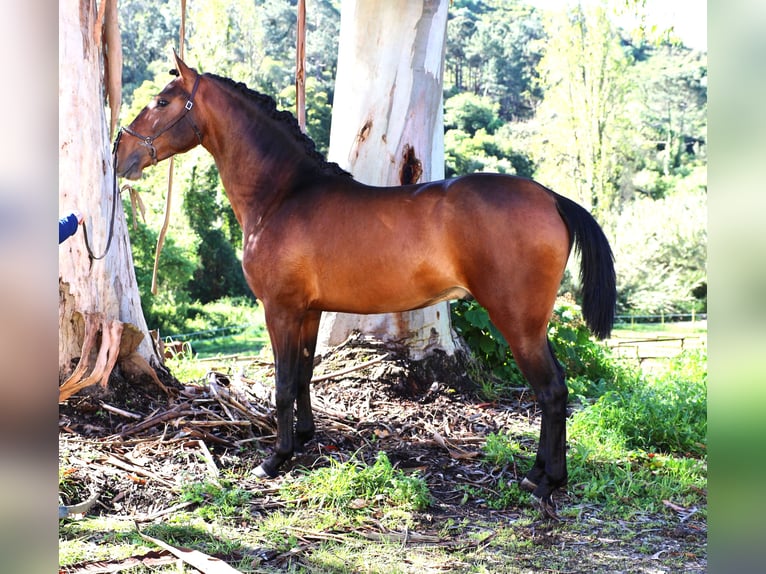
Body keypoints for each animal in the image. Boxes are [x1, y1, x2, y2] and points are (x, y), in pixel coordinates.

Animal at [115, 55, 616, 520]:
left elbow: (282, 382)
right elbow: (303, 375)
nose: (120, 152)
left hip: (517, 321)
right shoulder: (309, 310)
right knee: (555, 390)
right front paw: (303, 440)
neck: (284, 195)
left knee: (551, 391)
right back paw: (539, 473)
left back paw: (547, 481)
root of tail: (551, 197)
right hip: (530, 324)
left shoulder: (279, 309)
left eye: (162, 102)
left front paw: (276, 459)